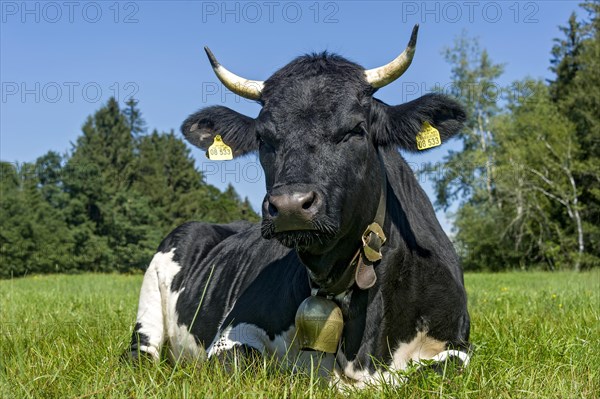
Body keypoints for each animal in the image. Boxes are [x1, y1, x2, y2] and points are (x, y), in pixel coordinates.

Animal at [129, 24, 472, 388]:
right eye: (263, 137)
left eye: (356, 129)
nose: (291, 205)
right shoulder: (232, 332)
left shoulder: (457, 343)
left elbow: (442, 369)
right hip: (149, 310)